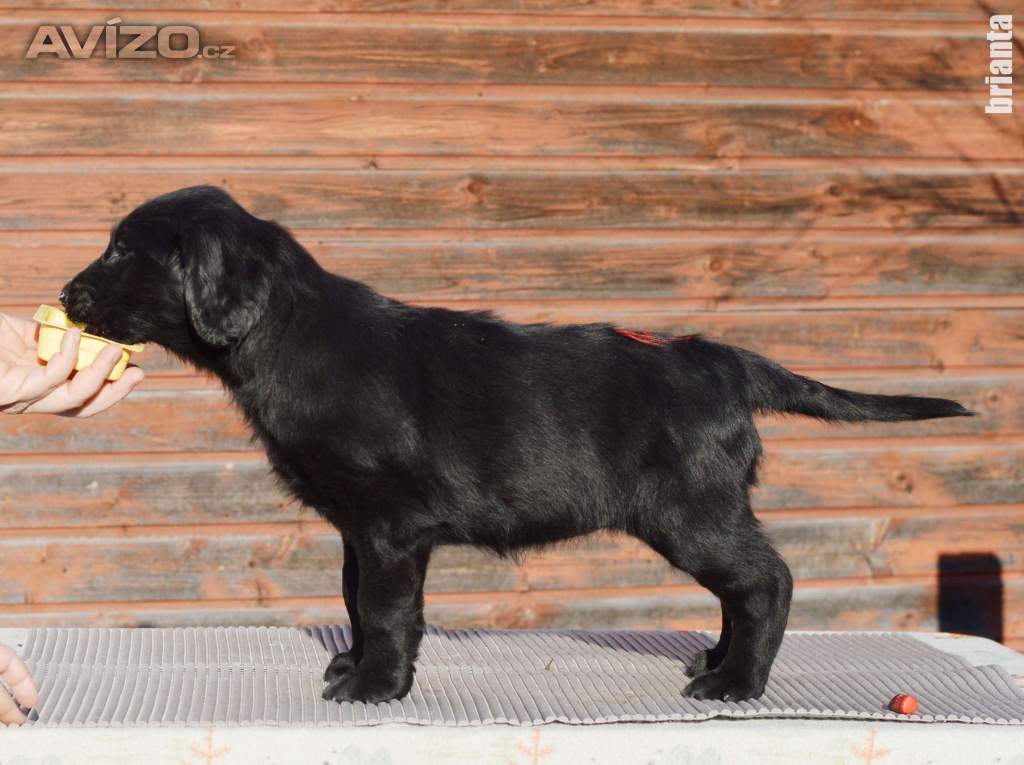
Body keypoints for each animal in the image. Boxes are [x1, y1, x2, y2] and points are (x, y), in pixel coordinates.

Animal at [59, 187, 970, 704]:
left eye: (122, 249)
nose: (66, 295)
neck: (287, 334)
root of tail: (722, 358)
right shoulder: (361, 528)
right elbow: (357, 600)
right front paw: (357, 666)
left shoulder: (390, 525)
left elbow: (384, 608)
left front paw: (377, 687)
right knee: (742, 590)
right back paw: (715, 659)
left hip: (691, 511)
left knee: (767, 580)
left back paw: (736, 682)